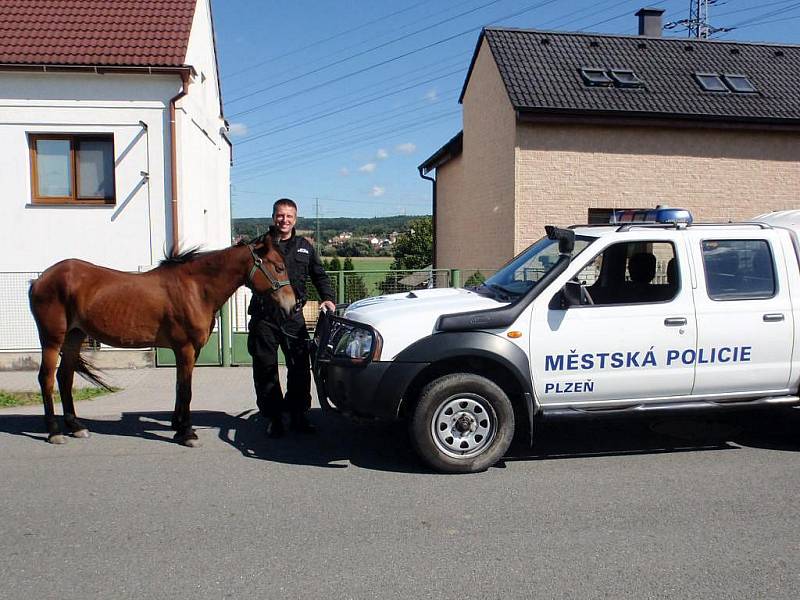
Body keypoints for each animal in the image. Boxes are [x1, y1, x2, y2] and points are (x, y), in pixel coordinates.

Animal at [28, 230, 298, 446]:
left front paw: (178, 426)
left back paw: (76, 427)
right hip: (52, 339)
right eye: (279, 266)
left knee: (65, 378)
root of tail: (40, 279)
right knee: (46, 379)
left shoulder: (191, 350)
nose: (292, 305)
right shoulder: (186, 348)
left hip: (74, 336)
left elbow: (180, 386)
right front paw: (188, 433)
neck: (195, 288)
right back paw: (54, 432)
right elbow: (186, 390)